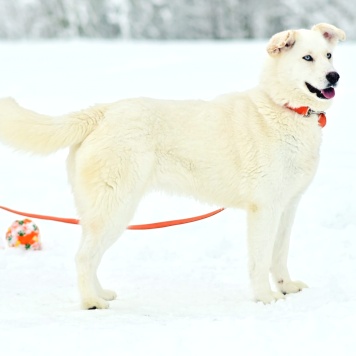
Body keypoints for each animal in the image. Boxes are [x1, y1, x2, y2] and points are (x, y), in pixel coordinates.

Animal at [0, 23, 344, 308]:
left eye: (329, 55)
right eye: (307, 58)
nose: (335, 77)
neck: (284, 108)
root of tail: (102, 111)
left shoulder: (287, 207)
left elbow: (279, 255)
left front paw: (286, 287)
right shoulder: (264, 209)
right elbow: (260, 260)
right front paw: (265, 298)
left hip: (102, 212)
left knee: (90, 255)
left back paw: (100, 293)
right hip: (115, 209)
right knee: (83, 257)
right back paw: (91, 303)